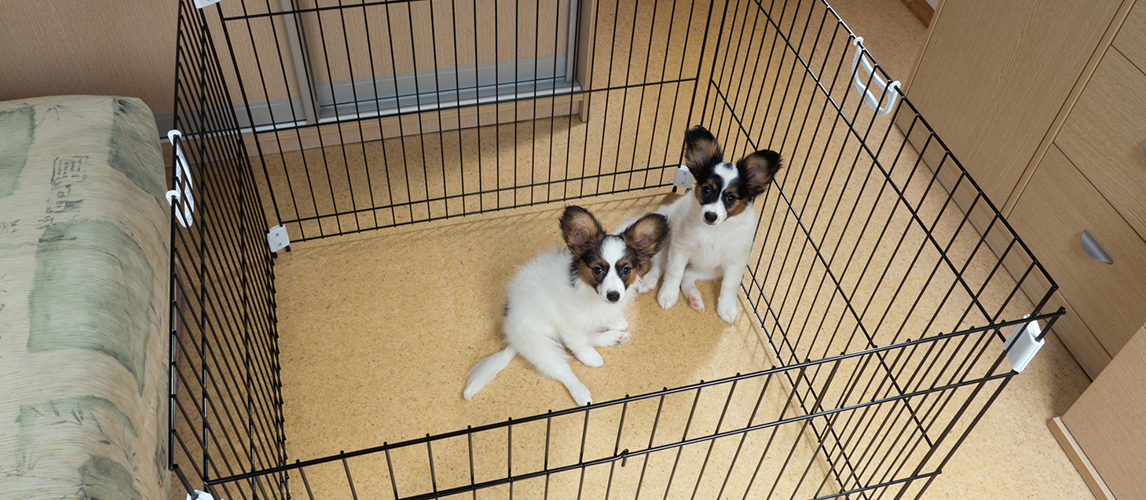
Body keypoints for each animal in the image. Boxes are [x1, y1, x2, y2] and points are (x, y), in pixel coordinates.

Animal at [641, 126, 783, 323]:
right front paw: (668, 295)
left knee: (688, 275)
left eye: (731, 198)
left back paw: (694, 298)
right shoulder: (680, 248)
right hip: (665, 240)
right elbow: (673, 272)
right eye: (707, 190)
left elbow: (730, 285)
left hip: (711, 268)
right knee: (661, 265)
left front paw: (727, 308)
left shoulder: (735, 262)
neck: (713, 231)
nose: (710, 216)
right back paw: (649, 281)